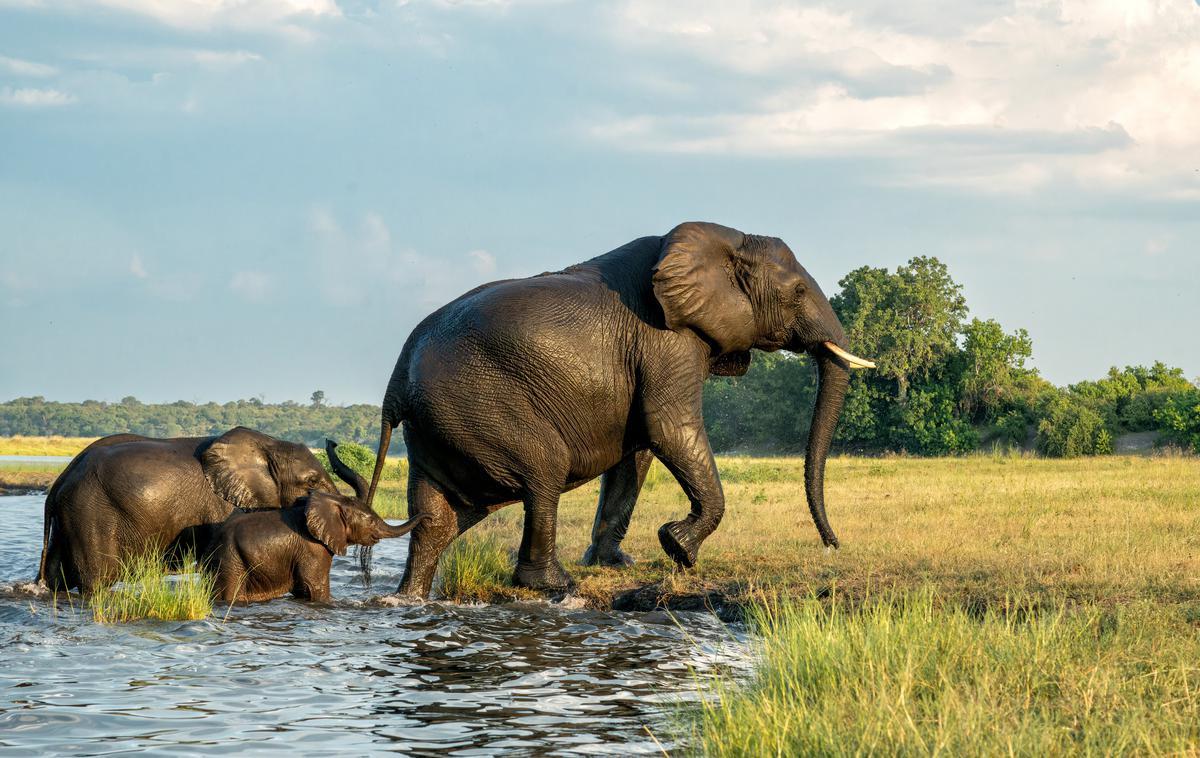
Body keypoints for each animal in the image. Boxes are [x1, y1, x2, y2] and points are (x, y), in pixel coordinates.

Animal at [37, 426, 348, 592]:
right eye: (311, 482)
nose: (332, 441)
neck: (269, 445)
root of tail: (60, 481)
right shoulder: (223, 506)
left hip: (71, 517)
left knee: (56, 578)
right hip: (91, 514)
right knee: (96, 581)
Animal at [206, 491, 427, 604]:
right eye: (371, 521)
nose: (428, 516)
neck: (334, 501)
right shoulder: (314, 549)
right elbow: (314, 585)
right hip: (230, 558)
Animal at [360, 220, 878, 597]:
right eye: (797, 294)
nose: (833, 546)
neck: (724, 239)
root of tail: (397, 377)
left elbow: (639, 451)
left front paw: (616, 563)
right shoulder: (666, 339)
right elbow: (669, 427)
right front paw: (679, 549)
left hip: (438, 423)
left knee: (438, 516)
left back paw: (409, 598)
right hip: (478, 406)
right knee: (543, 472)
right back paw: (554, 585)